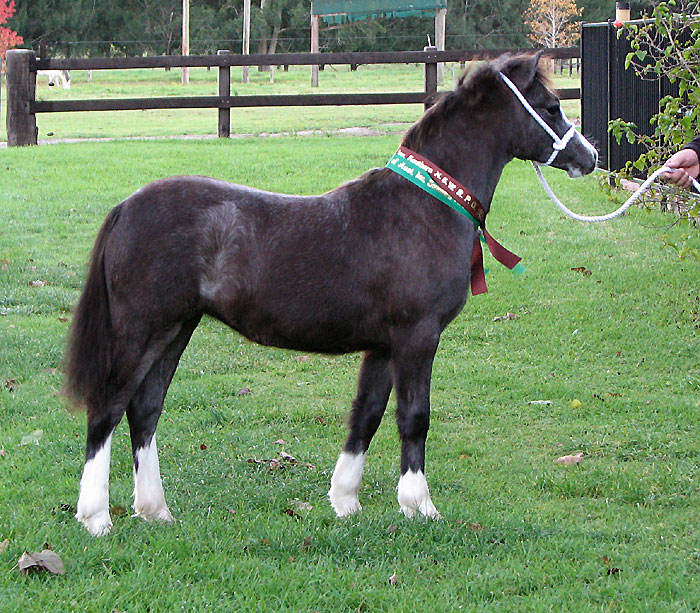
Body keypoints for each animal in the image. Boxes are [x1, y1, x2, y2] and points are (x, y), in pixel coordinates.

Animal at [64, 52, 597, 536]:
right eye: (550, 106)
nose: (589, 157)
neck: (421, 207)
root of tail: (126, 207)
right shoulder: (417, 337)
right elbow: (414, 417)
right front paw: (420, 506)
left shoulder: (383, 346)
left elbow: (366, 416)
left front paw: (345, 501)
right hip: (142, 330)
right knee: (107, 409)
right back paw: (96, 518)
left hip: (177, 329)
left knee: (144, 411)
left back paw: (155, 510)